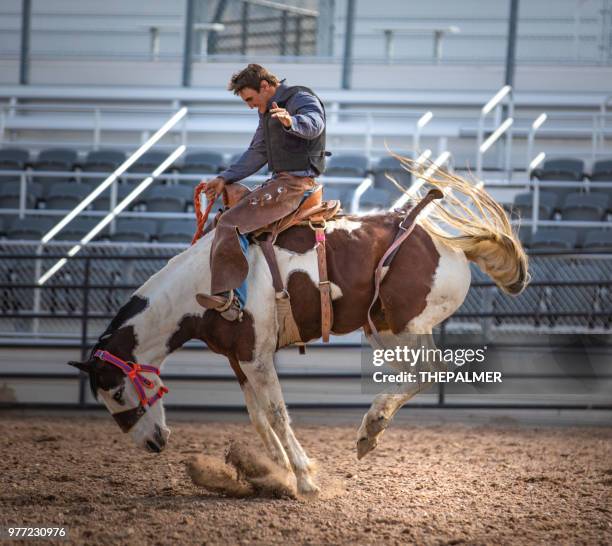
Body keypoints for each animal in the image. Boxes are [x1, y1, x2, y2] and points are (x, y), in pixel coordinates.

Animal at [65, 160, 524, 492]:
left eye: (117, 391)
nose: (152, 444)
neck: (200, 288)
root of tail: (447, 243)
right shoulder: (240, 360)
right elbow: (258, 416)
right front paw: (276, 472)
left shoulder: (257, 357)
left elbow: (277, 413)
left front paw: (303, 478)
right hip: (389, 331)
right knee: (420, 374)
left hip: (402, 327)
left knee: (430, 372)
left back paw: (371, 426)